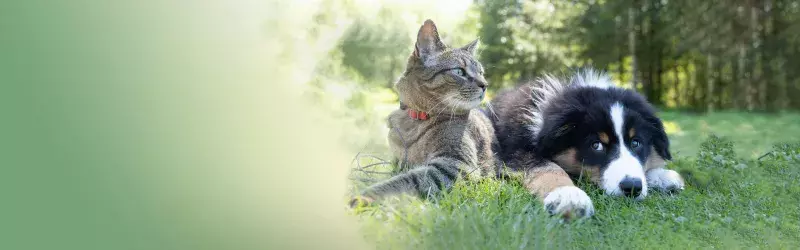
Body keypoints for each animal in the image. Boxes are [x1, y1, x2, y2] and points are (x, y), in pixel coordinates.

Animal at [346, 19, 496, 207]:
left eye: (481, 73)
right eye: (459, 71)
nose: (485, 85)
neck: (414, 121)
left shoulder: (455, 165)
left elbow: (404, 181)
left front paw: (365, 196)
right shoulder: (397, 162)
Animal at [490, 68, 684, 219]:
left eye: (636, 143)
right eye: (596, 145)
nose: (632, 187)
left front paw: (661, 176)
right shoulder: (516, 151)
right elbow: (548, 167)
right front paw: (568, 196)